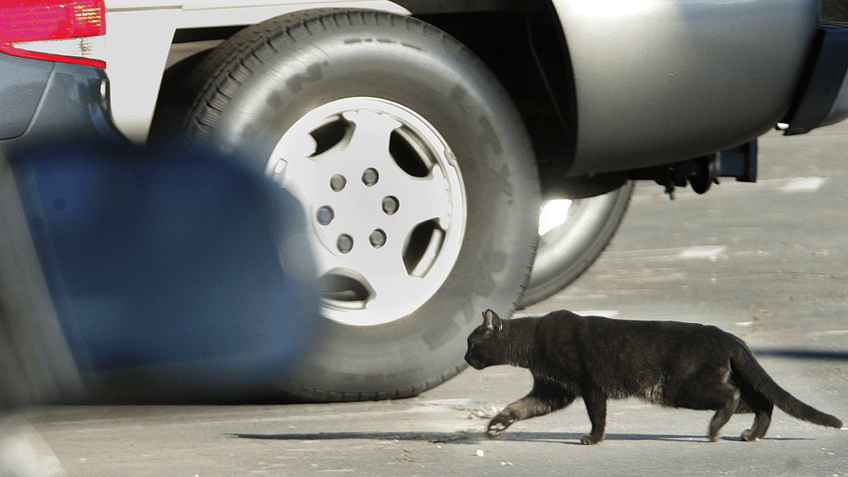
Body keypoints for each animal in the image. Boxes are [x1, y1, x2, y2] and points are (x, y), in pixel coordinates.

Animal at [468, 308, 844, 442]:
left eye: (472, 342)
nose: (465, 357)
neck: (532, 342)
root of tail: (730, 337)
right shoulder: (553, 390)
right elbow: (520, 407)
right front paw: (496, 425)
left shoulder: (588, 386)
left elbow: (597, 416)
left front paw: (594, 439)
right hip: (693, 386)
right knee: (762, 402)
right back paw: (751, 435)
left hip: (678, 388)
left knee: (735, 397)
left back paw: (714, 431)